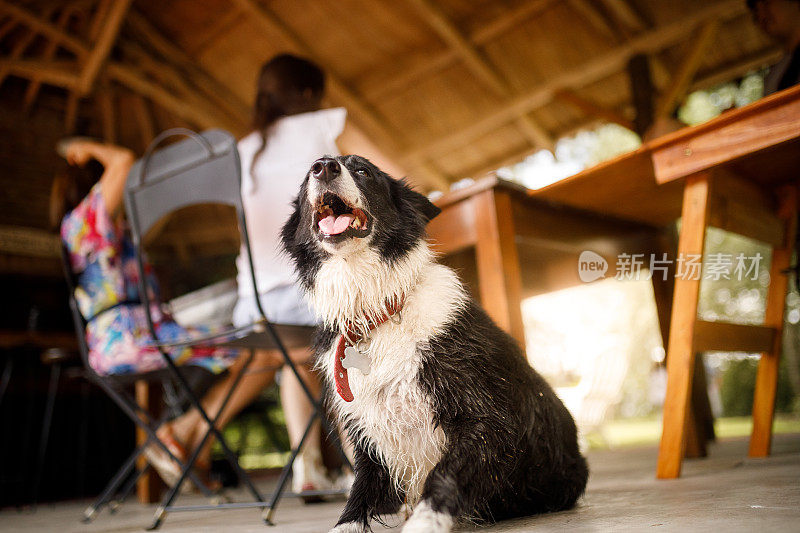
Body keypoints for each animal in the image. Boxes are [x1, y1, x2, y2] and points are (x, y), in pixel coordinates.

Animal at [282, 156, 588, 528]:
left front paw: (425, 522)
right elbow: (358, 496)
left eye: (363, 171)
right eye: (305, 180)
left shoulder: (488, 419)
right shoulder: (368, 437)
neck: (378, 312)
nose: (324, 166)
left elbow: (445, 475)